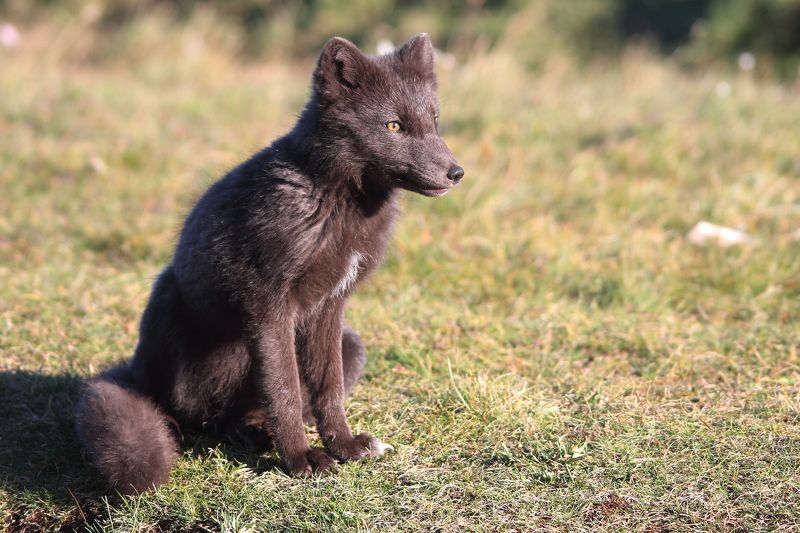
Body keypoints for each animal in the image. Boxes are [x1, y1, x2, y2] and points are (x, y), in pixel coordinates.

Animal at [74, 33, 464, 494]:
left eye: (435, 121)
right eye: (393, 126)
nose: (457, 172)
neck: (336, 201)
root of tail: (135, 372)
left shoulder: (330, 305)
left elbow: (327, 390)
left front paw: (344, 446)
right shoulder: (268, 303)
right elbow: (285, 389)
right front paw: (299, 459)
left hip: (352, 344)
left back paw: (256, 431)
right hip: (171, 305)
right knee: (195, 415)